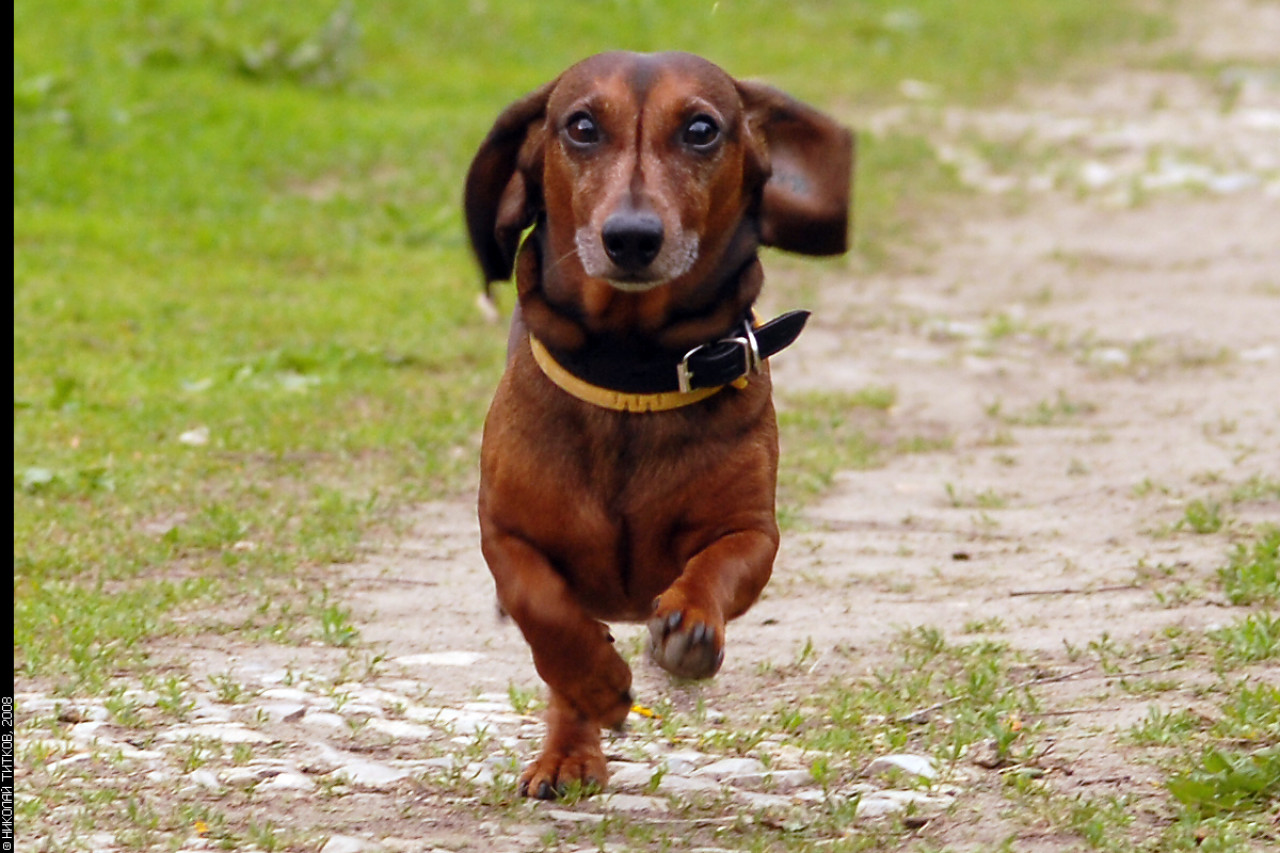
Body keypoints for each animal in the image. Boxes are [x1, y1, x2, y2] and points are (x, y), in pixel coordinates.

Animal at [460, 51, 849, 799]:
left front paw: (690, 624)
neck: (630, 372)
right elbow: (542, 609)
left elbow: (719, 563)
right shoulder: (505, 533)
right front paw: (596, 681)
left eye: (701, 129)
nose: (632, 238)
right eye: (581, 126)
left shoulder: (753, 531)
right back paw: (567, 753)